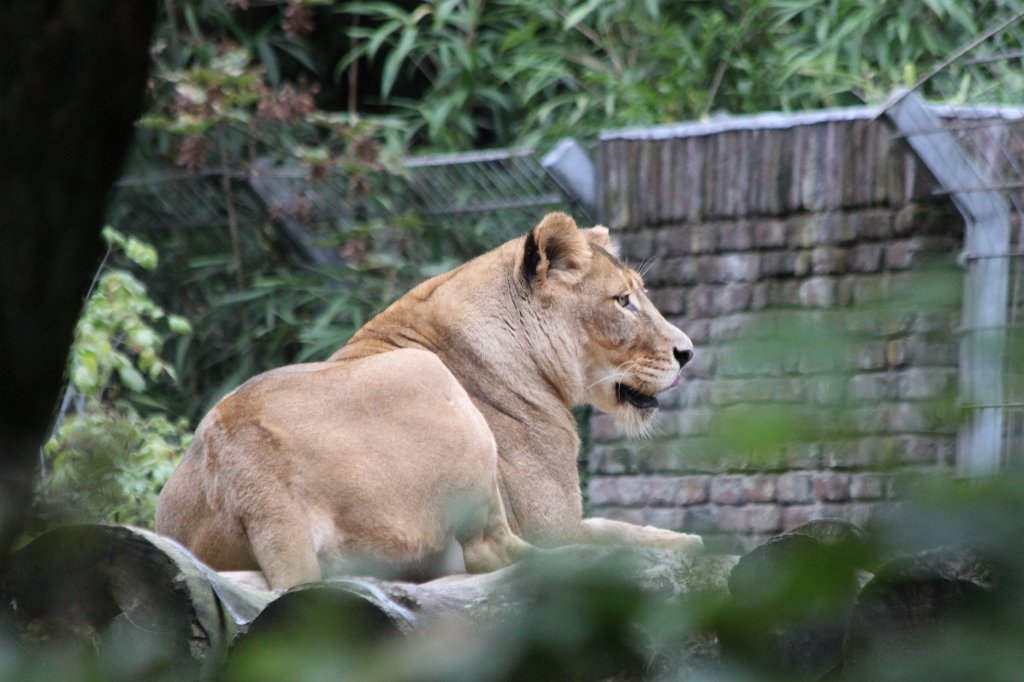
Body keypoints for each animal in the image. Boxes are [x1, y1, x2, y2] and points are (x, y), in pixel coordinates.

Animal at [155, 212, 701, 590]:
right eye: (623, 301)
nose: (687, 352)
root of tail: (248, 468)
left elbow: (618, 522)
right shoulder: (554, 523)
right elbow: (613, 528)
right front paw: (684, 542)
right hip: (429, 381)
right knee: (494, 553)